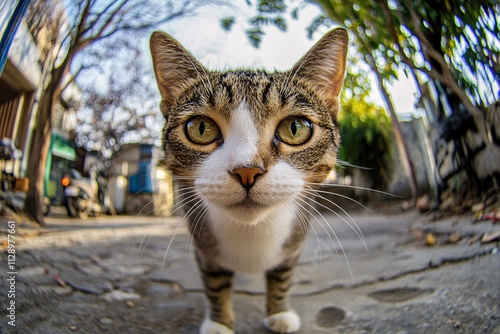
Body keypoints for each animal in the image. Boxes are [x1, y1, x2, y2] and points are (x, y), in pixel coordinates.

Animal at [149, 28, 348, 334]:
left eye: (295, 128)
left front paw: (279, 312)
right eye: (201, 128)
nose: (247, 171)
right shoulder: (203, 245)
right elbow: (214, 281)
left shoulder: (295, 241)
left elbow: (282, 275)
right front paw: (219, 323)